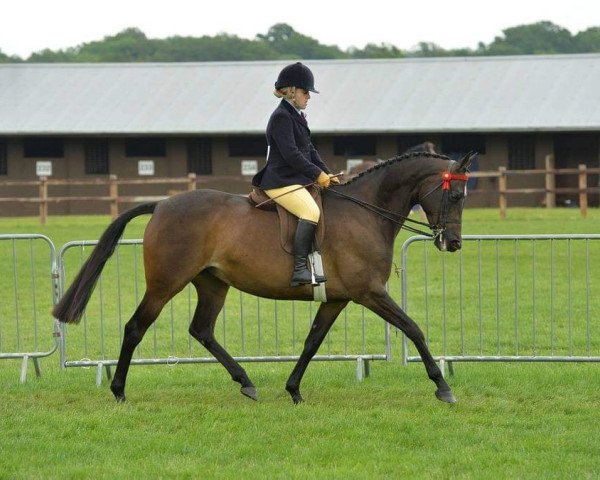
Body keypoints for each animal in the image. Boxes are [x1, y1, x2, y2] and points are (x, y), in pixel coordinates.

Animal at [52, 151, 474, 404]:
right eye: (456, 197)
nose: (453, 243)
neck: (366, 212)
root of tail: (163, 204)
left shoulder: (337, 298)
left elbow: (312, 342)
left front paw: (294, 390)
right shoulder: (370, 292)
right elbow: (413, 328)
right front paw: (443, 387)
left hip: (212, 284)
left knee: (202, 330)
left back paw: (246, 382)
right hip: (165, 284)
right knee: (135, 327)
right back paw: (119, 391)